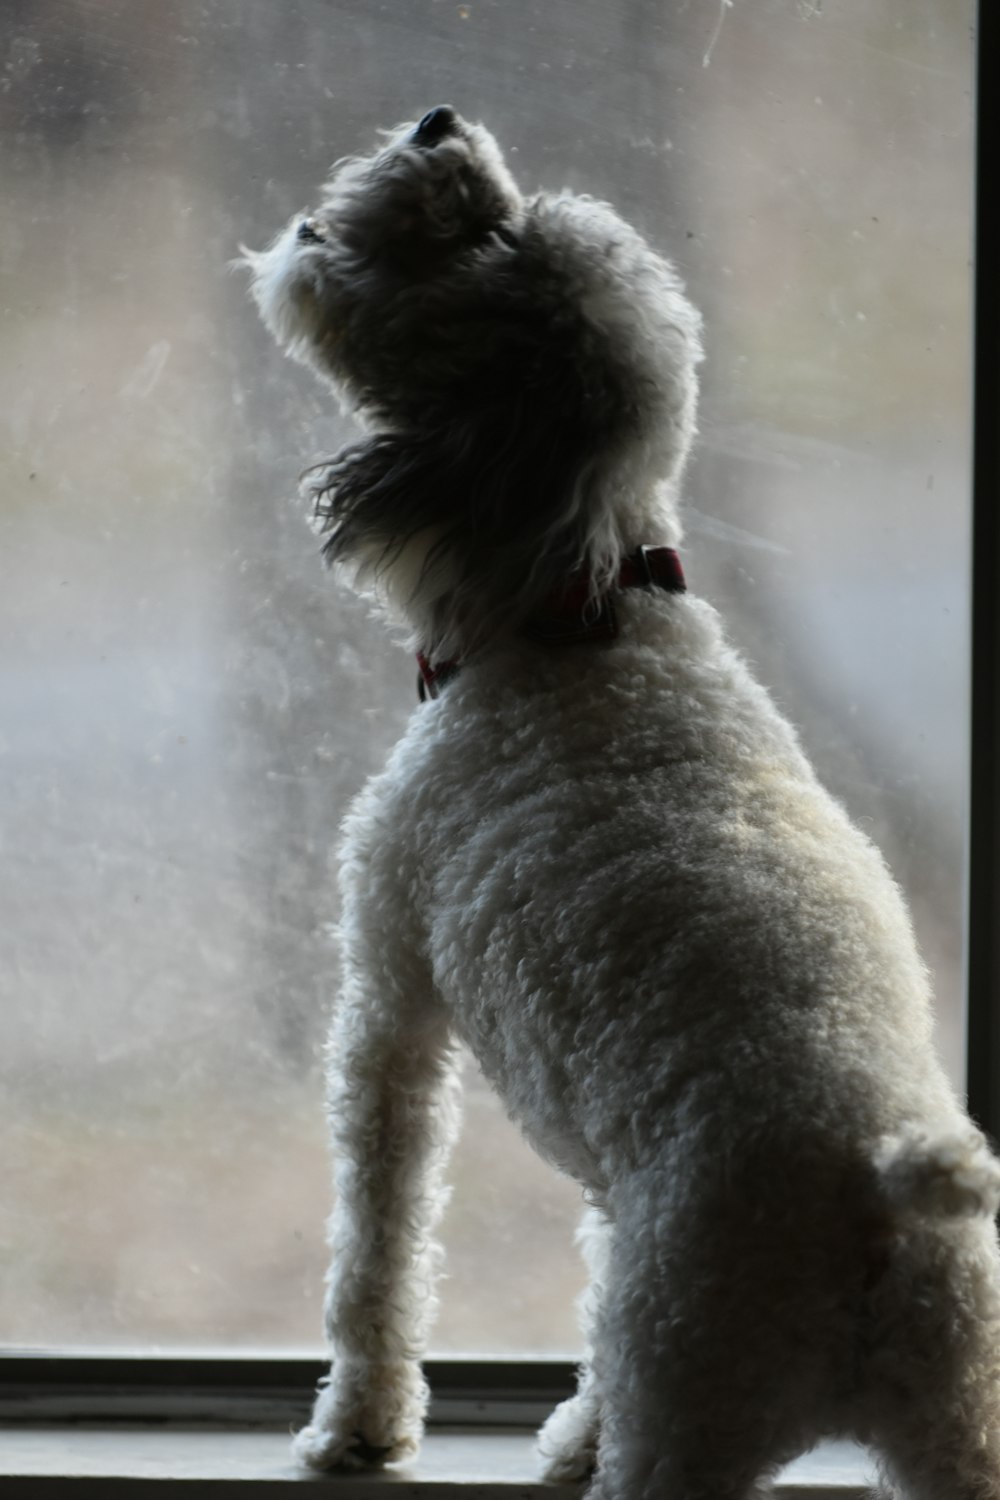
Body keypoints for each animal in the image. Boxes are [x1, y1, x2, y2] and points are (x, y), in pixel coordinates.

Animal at [245, 108, 1000, 1500]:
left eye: (486, 234)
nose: (439, 121)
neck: (582, 609)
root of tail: (882, 1196)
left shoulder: (390, 1000)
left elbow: (377, 1242)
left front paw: (357, 1428)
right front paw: (565, 1432)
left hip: (690, 1401)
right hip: (957, 1421)